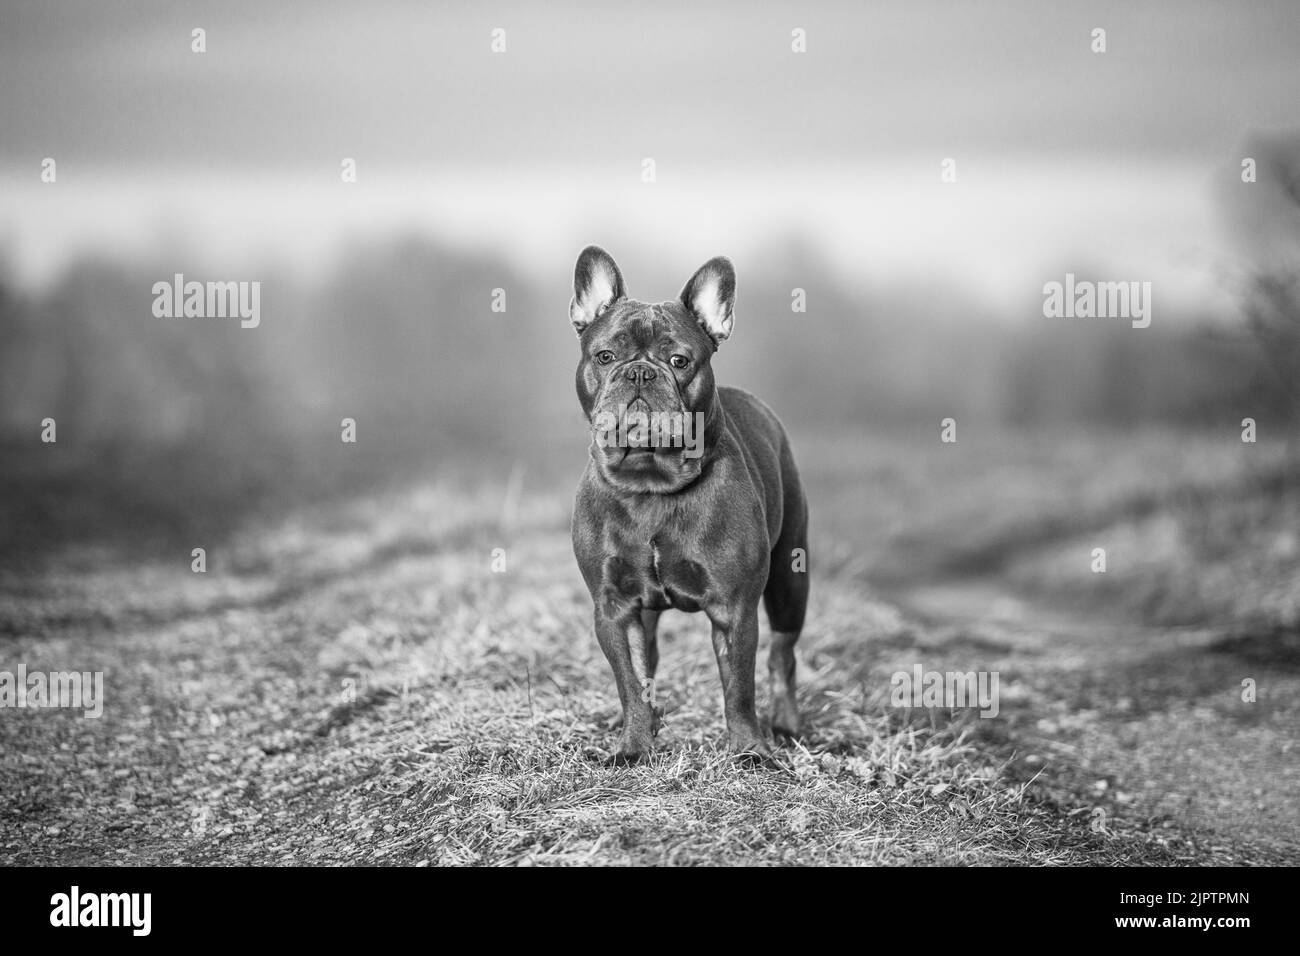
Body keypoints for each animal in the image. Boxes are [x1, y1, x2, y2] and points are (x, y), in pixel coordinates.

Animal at [572, 244, 811, 764]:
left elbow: (739, 686)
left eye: (680, 360)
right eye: (605, 356)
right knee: (649, 662)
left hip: (790, 580)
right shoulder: (614, 608)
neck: (651, 483)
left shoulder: (734, 609)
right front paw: (634, 747)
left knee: (782, 655)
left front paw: (748, 750)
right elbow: (631, 681)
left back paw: (785, 726)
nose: (640, 371)